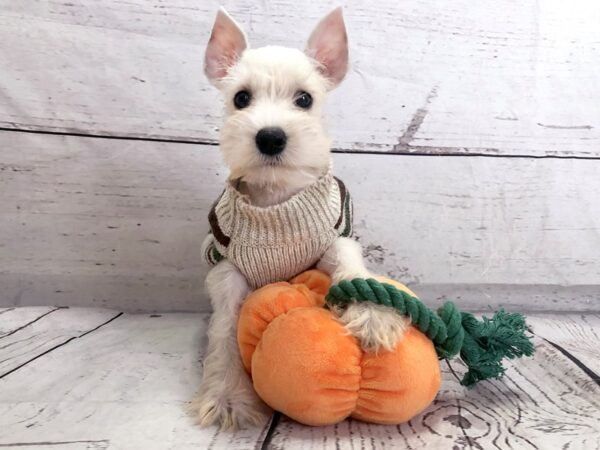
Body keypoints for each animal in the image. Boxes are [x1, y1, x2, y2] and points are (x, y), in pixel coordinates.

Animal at [190, 6, 410, 428]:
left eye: (304, 99)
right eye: (241, 98)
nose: (270, 137)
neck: (277, 199)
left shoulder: (333, 238)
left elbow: (350, 266)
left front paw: (373, 314)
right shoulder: (225, 269)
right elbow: (224, 329)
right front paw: (226, 393)